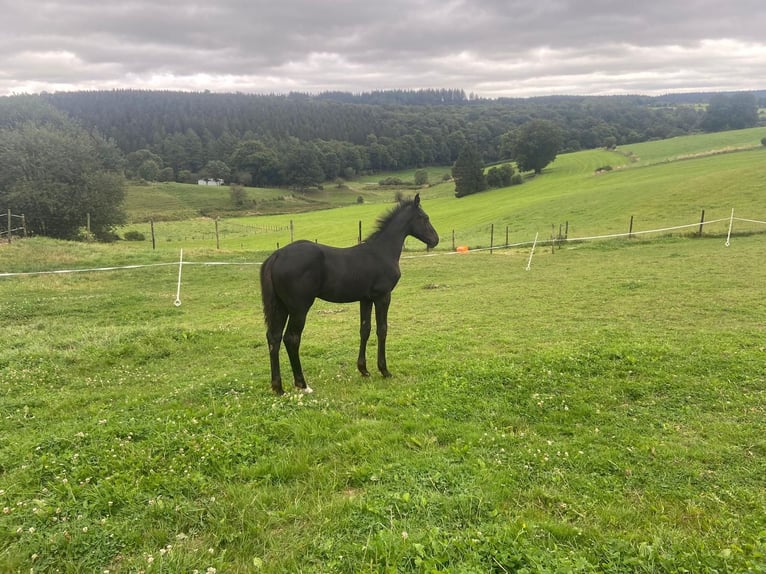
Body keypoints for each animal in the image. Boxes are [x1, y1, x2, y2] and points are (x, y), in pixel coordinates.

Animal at [260, 195, 438, 396]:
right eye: (424, 218)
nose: (435, 240)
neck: (382, 251)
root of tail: (277, 255)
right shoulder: (383, 296)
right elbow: (382, 330)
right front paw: (384, 370)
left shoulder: (366, 299)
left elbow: (365, 329)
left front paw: (364, 370)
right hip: (299, 308)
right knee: (291, 338)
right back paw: (302, 384)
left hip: (280, 306)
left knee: (273, 337)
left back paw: (278, 387)